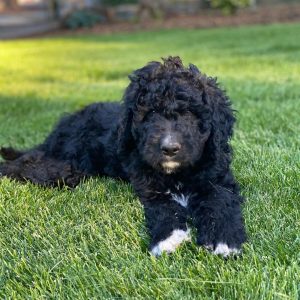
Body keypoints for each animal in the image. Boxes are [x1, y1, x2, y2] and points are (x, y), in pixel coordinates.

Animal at [0, 56, 246, 258]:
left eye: (190, 113)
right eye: (151, 113)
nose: (169, 149)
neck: (177, 174)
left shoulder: (217, 180)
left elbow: (221, 203)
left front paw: (225, 240)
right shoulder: (149, 188)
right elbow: (164, 208)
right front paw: (167, 238)